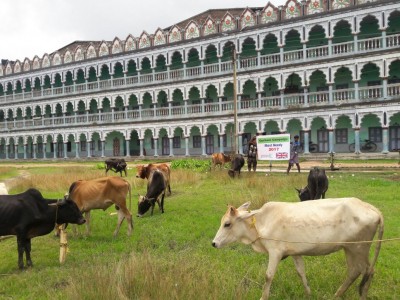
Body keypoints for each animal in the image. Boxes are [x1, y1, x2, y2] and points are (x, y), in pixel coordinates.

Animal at [212, 198, 384, 298]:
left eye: (227, 224)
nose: (214, 243)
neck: (260, 223)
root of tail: (372, 209)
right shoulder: (295, 253)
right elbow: (301, 272)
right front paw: (309, 293)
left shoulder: (275, 252)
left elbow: (268, 276)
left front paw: (263, 297)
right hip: (350, 249)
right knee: (357, 271)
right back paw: (338, 294)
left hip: (359, 248)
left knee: (366, 271)